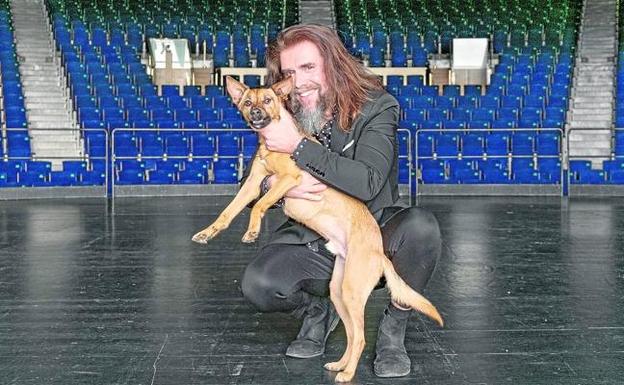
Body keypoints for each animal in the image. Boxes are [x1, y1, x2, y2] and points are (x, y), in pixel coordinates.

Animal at [193, 75, 442, 380]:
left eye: (268, 100)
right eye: (248, 102)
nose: (256, 114)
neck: (274, 144)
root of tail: (379, 254)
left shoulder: (290, 179)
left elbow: (263, 204)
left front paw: (252, 231)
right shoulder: (253, 184)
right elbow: (229, 212)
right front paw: (208, 233)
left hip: (353, 292)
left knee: (361, 338)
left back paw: (347, 374)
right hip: (339, 292)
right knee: (351, 334)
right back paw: (339, 364)